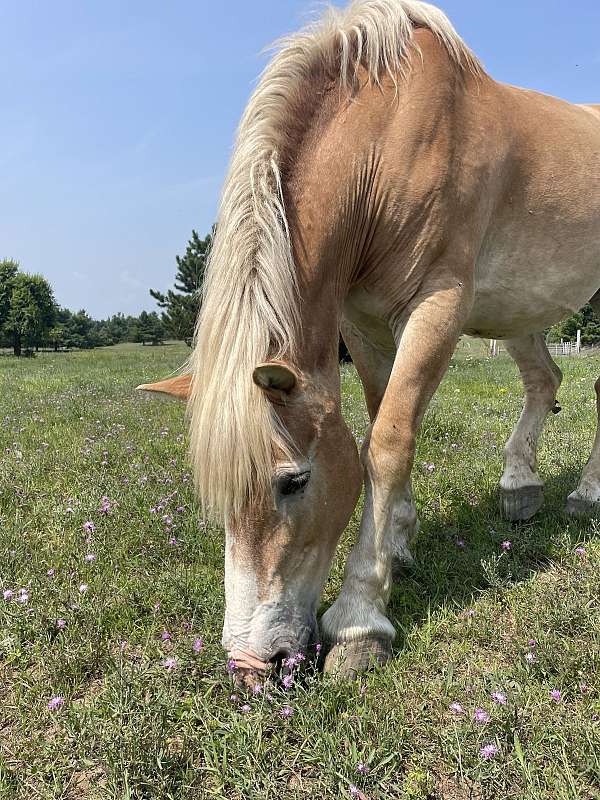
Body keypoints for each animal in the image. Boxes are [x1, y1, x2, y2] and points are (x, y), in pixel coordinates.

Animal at [139, 0, 600, 678]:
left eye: (293, 481)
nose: (252, 663)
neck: (387, 148)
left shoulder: (438, 306)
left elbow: (387, 443)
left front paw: (361, 618)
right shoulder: (363, 322)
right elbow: (385, 417)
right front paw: (399, 542)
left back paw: (586, 493)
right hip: (519, 309)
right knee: (545, 378)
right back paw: (520, 487)